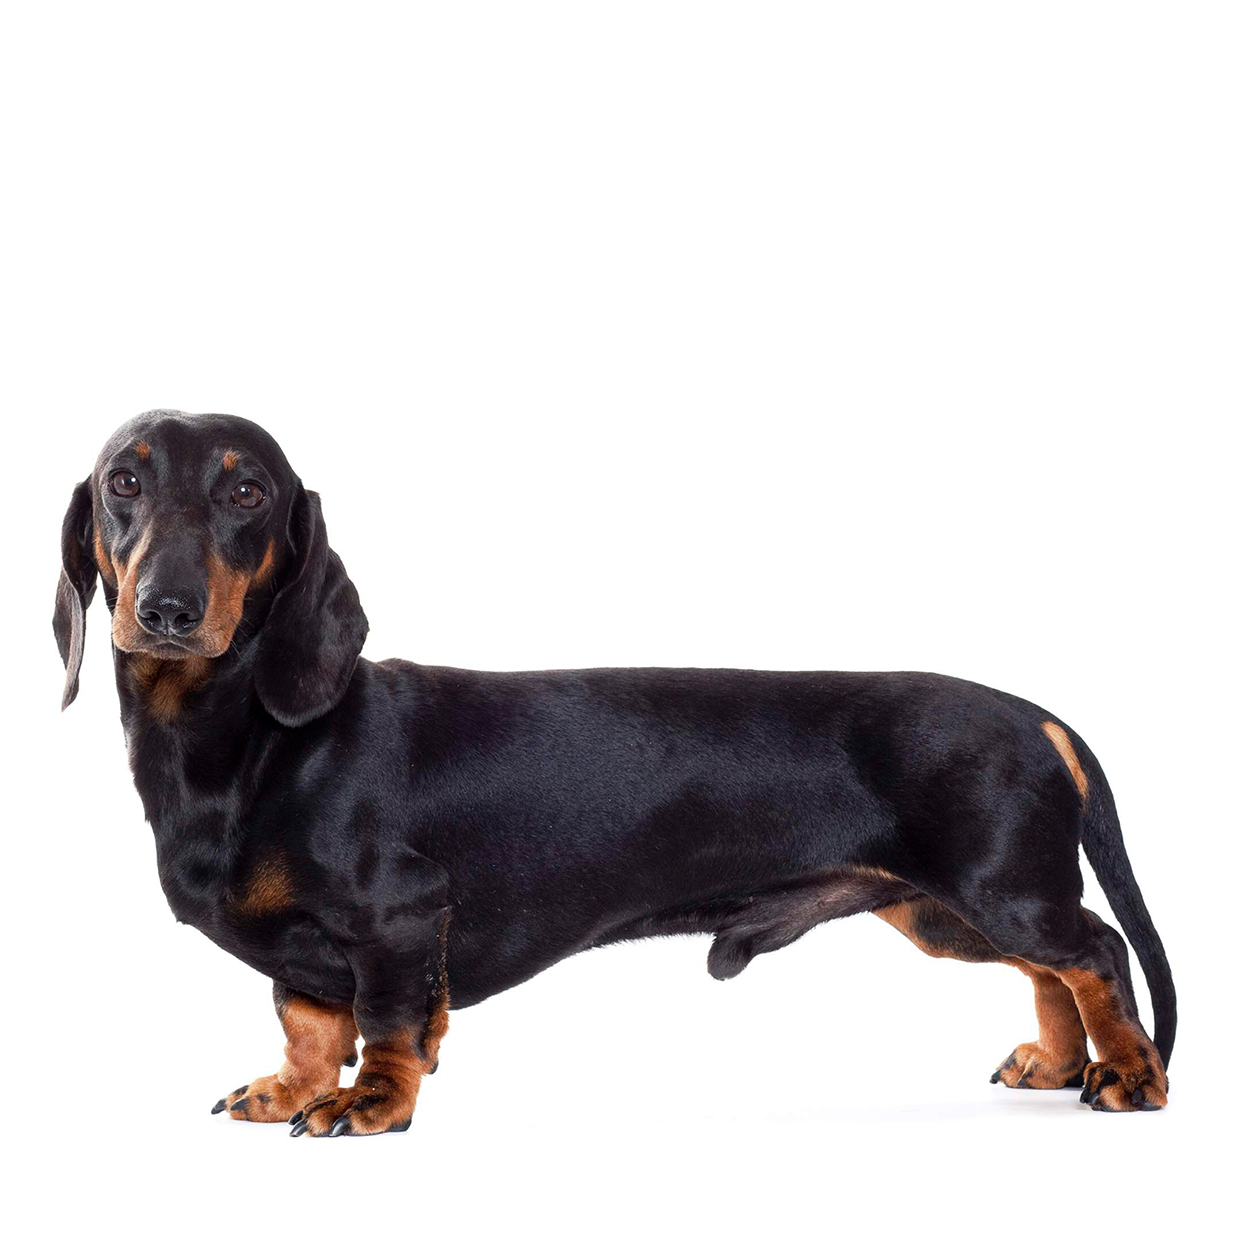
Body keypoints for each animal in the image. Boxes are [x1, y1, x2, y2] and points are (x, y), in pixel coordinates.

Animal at [56, 410, 1170, 1135]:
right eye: (125, 481)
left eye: (248, 490)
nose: (165, 608)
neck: (242, 743)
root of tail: (1037, 716)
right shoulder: (306, 951)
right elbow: (306, 1022)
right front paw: (288, 1089)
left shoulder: (398, 919)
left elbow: (385, 1023)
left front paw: (371, 1103)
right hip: (949, 911)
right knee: (1052, 969)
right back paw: (1057, 1061)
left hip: (996, 887)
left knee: (1094, 951)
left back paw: (1126, 1076)